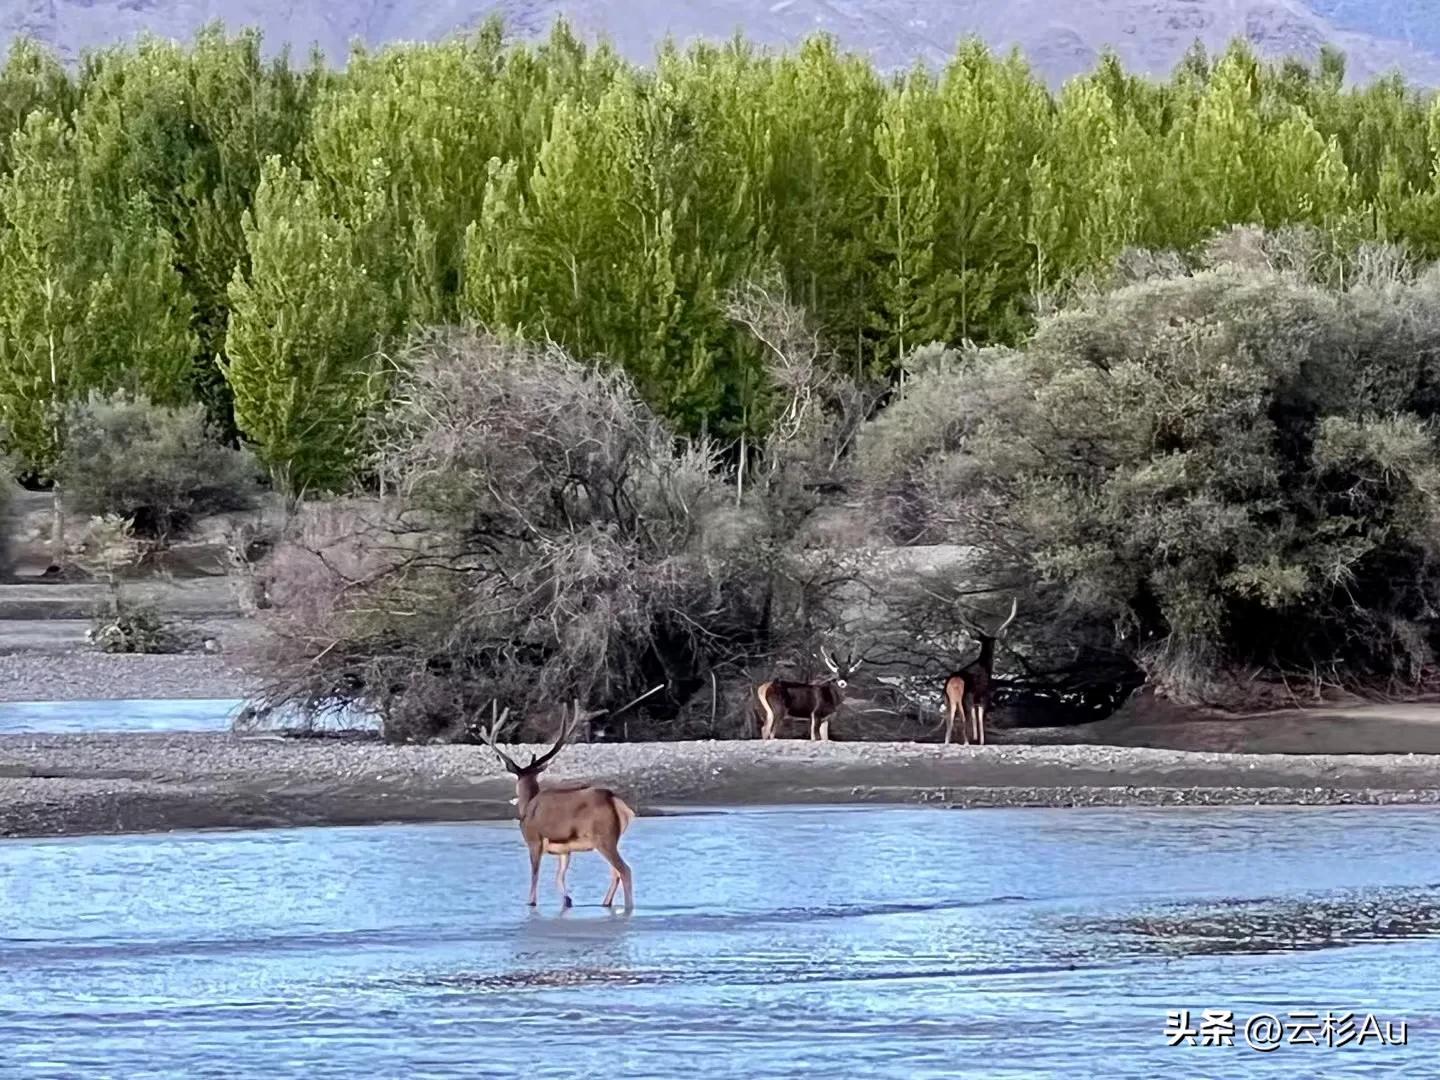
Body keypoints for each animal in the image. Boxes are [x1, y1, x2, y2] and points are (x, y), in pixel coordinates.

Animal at [478, 702, 636, 915]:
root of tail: (617, 802)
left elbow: (534, 878)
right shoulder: (564, 850)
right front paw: (567, 900)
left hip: (604, 837)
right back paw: (606, 903)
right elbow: (559, 878)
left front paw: (531, 903)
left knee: (625, 870)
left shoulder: (533, 839)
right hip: (610, 839)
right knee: (616, 872)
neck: (527, 807)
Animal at [938, 596, 1019, 748]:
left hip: (947, 699)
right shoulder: (983, 696)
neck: (985, 666)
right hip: (965, 697)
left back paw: (949, 741)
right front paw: (980, 741)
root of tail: (954, 682)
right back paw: (965, 742)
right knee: (963, 718)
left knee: (949, 720)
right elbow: (980, 719)